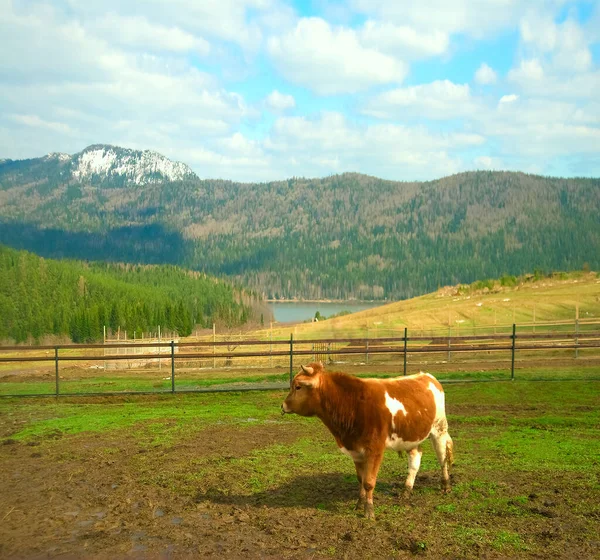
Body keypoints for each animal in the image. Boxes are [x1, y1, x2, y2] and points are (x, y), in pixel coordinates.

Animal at [282, 364, 454, 520]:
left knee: (442, 458)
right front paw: (359, 503)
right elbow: (361, 479)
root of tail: (427, 376)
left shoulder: (375, 449)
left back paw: (445, 485)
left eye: (298, 387)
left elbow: (369, 481)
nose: (283, 406)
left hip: (439, 429)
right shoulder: (356, 451)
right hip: (411, 437)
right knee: (415, 460)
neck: (352, 404)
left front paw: (369, 511)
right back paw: (406, 491)